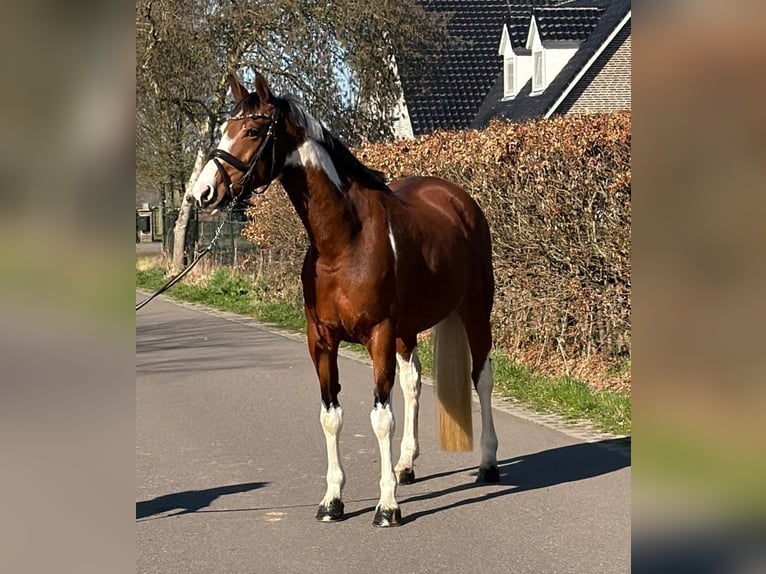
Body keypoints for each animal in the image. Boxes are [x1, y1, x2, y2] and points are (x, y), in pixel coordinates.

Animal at [189, 73, 499, 527]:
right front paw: (333, 500)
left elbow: (381, 419)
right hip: (408, 331)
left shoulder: (379, 335)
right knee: (413, 382)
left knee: (482, 378)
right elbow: (330, 416)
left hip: (475, 311)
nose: (203, 192)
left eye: (252, 132)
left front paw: (387, 507)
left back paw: (488, 464)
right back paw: (405, 466)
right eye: (224, 128)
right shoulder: (321, 340)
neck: (342, 243)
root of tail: (458, 199)